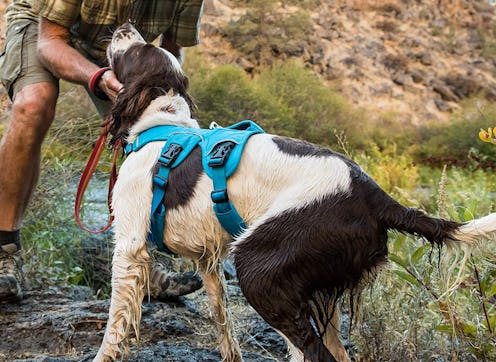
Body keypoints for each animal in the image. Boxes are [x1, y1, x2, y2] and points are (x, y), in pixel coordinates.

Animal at [94, 23, 496, 362]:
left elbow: (115, 323)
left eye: (138, 50)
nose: (124, 24)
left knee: (314, 352)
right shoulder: (208, 259)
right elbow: (223, 321)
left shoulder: (130, 245)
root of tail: (374, 194)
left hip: (259, 265)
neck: (161, 126)